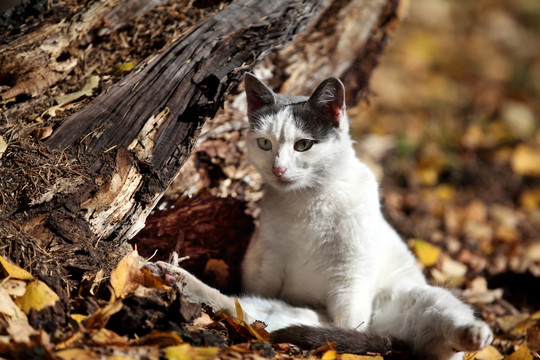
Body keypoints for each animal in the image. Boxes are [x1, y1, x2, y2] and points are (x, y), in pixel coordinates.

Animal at [144, 73, 494, 360]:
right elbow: (252, 299)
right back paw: (176, 278)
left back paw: (473, 334)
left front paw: (346, 347)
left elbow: (351, 325)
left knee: (442, 335)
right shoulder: (266, 266)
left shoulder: (350, 276)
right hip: (277, 311)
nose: (278, 169)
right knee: (240, 310)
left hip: (416, 299)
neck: (306, 205)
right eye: (265, 143)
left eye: (303, 145)